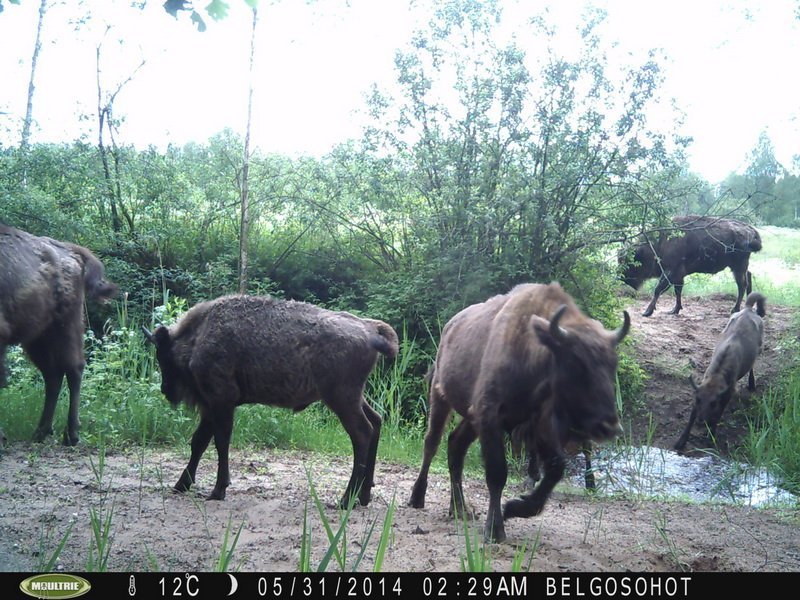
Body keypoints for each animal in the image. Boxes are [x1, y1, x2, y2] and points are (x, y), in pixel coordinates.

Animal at [0, 225, 118, 446]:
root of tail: (69, 251)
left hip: (64, 326)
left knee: (73, 368)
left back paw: (70, 434)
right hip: (37, 337)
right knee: (53, 374)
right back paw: (41, 432)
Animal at [142, 294, 398, 506]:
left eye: (163, 354)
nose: (166, 390)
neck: (200, 334)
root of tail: (370, 329)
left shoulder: (221, 402)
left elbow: (220, 442)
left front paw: (218, 490)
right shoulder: (211, 407)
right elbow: (199, 442)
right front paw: (181, 485)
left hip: (341, 400)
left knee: (362, 433)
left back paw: (346, 500)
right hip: (355, 397)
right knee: (376, 422)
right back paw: (364, 496)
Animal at [410, 282, 628, 544]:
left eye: (612, 364)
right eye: (577, 364)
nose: (610, 427)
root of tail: (450, 327)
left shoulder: (540, 424)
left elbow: (555, 468)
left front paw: (514, 508)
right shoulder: (490, 417)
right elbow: (497, 473)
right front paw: (495, 529)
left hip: (470, 418)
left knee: (455, 446)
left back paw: (460, 509)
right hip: (440, 397)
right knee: (432, 443)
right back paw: (418, 497)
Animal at [620, 217, 764, 318]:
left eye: (631, 264)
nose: (625, 280)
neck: (660, 243)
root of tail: (751, 231)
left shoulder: (671, 272)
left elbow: (658, 290)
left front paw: (647, 312)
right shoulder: (678, 276)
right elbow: (678, 291)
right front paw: (674, 310)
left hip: (738, 267)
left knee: (742, 285)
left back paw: (735, 309)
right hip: (739, 267)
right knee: (748, 277)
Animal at [676, 290, 768, 450]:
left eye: (713, 403)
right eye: (698, 400)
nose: (701, 421)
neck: (718, 374)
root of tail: (748, 309)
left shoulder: (726, 396)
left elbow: (717, 416)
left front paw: (710, 437)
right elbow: (690, 418)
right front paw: (681, 441)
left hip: (759, 350)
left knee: (751, 367)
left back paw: (752, 384)